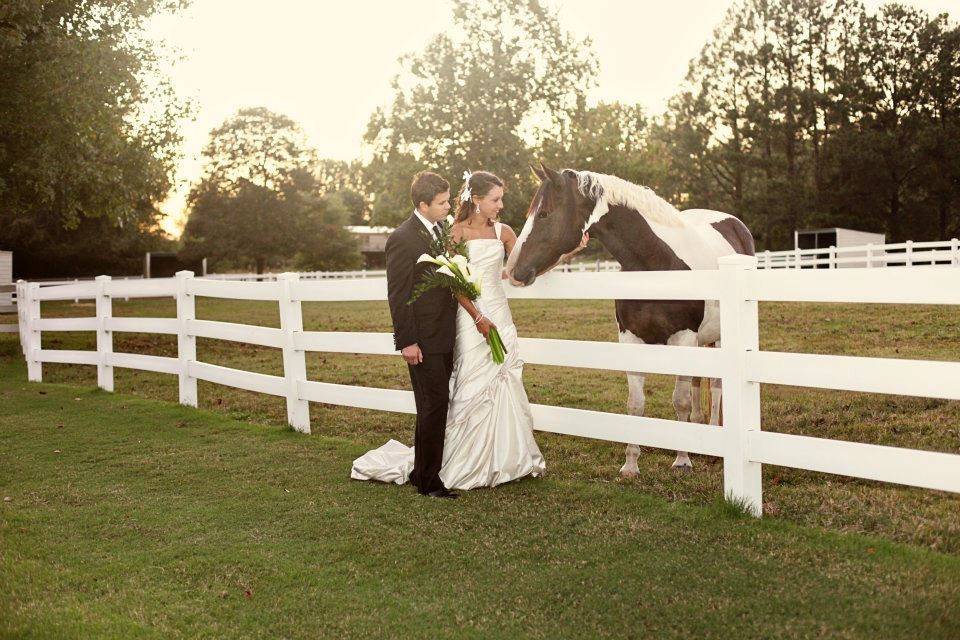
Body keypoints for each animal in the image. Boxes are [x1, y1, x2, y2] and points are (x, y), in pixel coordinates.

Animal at [506, 164, 752, 476]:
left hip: (717, 338)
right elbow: (635, 405)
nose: (513, 271)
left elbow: (680, 401)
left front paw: (682, 460)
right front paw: (631, 464)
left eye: (544, 214)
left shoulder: (685, 337)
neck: (656, 264)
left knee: (717, 386)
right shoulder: (630, 339)